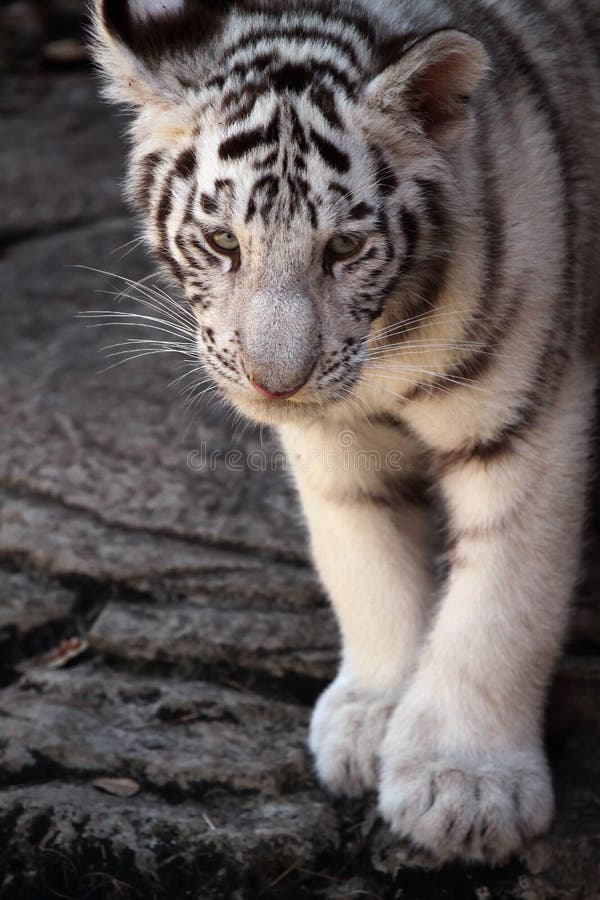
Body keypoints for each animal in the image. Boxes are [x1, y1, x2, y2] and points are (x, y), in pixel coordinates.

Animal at [91, 0, 600, 865]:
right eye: (222, 242)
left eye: (346, 248)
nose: (275, 381)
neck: (391, 335)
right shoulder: (337, 436)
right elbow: (365, 561)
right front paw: (374, 716)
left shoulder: (531, 414)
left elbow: (505, 600)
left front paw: (465, 787)